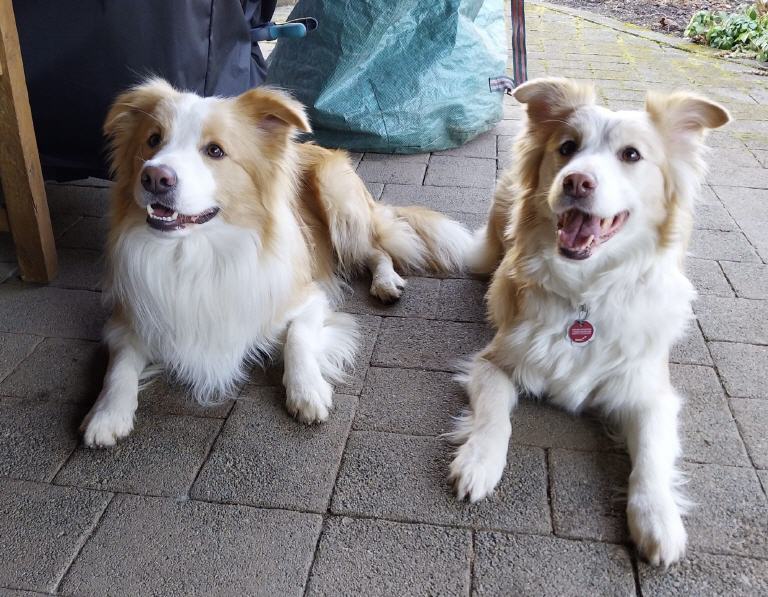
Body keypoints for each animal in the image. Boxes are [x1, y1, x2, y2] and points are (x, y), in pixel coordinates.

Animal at [80, 78, 471, 447]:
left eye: (215, 150)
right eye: (153, 140)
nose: (154, 177)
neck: (195, 253)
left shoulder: (309, 298)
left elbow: (298, 337)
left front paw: (307, 391)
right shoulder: (129, 319)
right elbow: (119, 367)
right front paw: (106, 415)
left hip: (339, 201)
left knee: (378, 249)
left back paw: (386, 282)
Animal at [447, 77, 729, 566]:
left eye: (631, 155)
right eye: (567, 148)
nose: (576, 180)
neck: (586, 295)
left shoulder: (650, 393)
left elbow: (652, 456)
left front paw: (658, 518)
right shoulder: (493, 362)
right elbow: (495, 416)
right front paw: (479, 463)